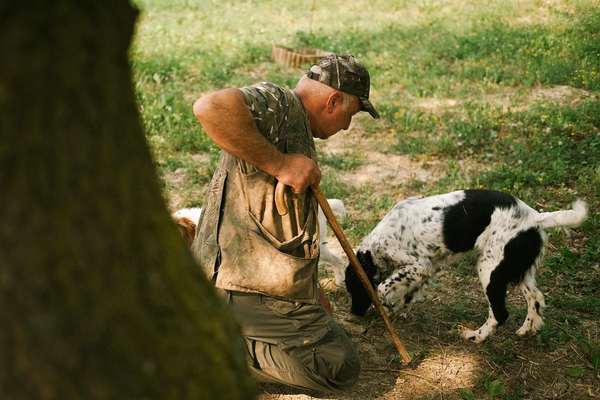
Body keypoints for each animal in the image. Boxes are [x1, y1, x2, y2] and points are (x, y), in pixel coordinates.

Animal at [344, 189, 588, 342]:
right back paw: (526, 329)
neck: (376, 246)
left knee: (500, 313)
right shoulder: (428, 269)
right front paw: (397, 308)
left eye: (354, 289)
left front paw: (387, 306)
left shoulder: (420, 266)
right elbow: (408, 293)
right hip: (514, 268)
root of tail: (536, 217)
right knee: (536, 298)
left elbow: (382, 287)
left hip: (489, 269)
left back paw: (476, 336)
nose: (354, 313)